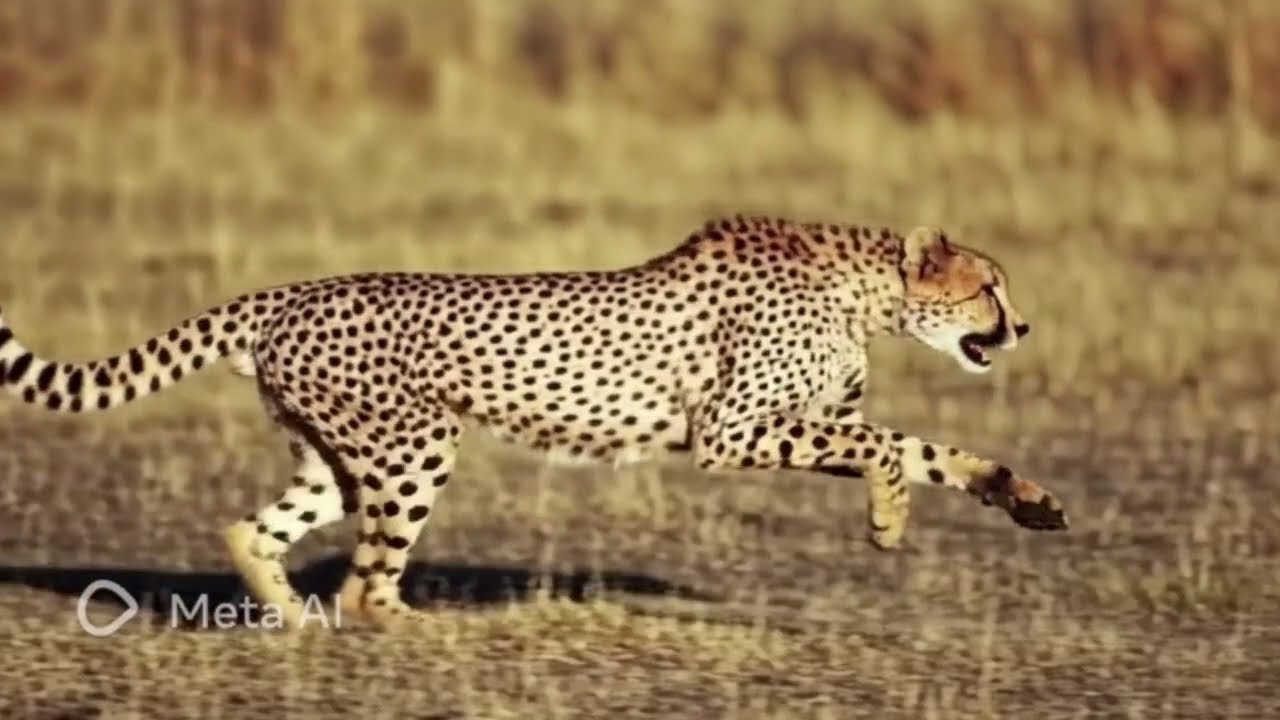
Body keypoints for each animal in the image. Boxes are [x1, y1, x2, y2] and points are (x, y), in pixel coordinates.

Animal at [0, 215, 1067, 631]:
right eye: (989, 288)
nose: (1022, 326)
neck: (860, 290)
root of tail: (289, 292)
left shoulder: (796, 423)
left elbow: (932, 449)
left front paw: (1027, 499)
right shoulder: (732, 432)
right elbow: (888, 446)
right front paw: (887, 520)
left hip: (339, 457)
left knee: (253, 528)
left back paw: (292, 618)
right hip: (414, 448)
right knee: (369, 585)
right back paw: (414, 630)